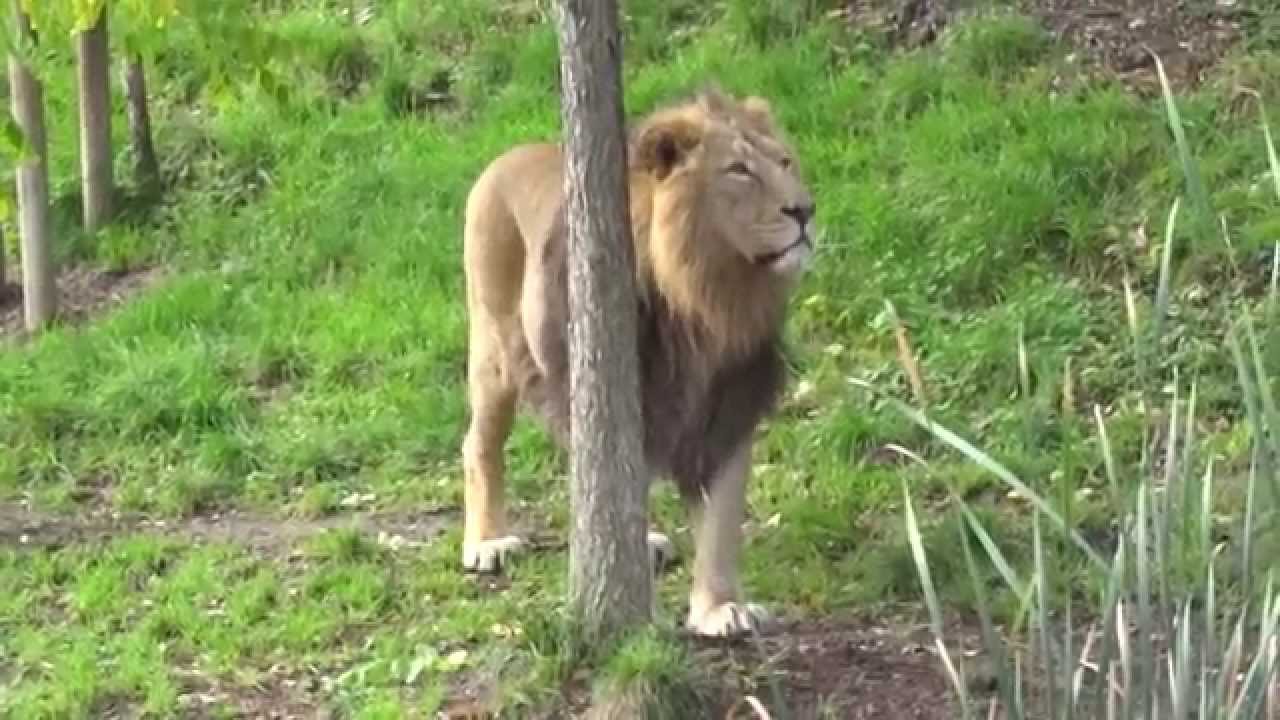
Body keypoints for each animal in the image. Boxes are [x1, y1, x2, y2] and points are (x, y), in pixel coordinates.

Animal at [458, 87, 816, 637]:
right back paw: (487, 542)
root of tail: (507, 156)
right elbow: (621, 483)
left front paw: (720, 608)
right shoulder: (625, 390)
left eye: (784, 162)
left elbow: (721, 520)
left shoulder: (728, 406)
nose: (805, 211)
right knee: (480, 444)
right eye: (738, 170)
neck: (710, 297)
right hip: (496, 348)